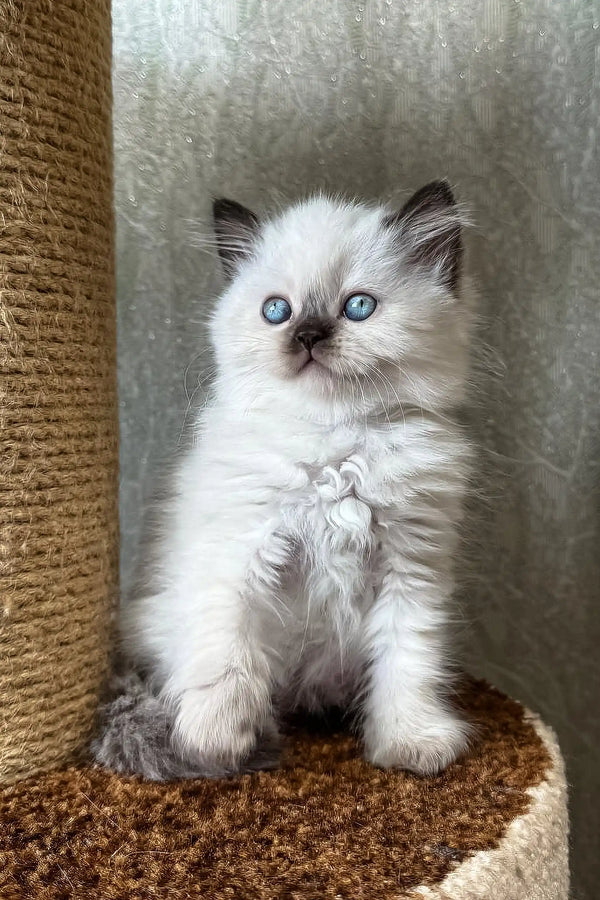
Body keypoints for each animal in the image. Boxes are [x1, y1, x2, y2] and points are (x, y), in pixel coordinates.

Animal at [94, 181, 476, 780]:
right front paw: (215, 741)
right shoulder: (240, 549)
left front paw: (411, 743)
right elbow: (228, 654)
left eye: (358, 307)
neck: (336, 450)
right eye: (277, 311)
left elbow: (408, 662)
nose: (308, 335)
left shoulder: (411, 569)